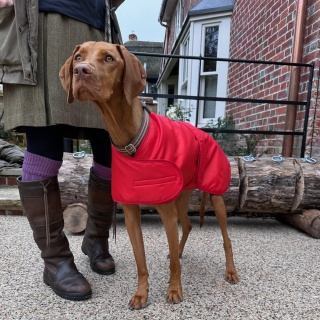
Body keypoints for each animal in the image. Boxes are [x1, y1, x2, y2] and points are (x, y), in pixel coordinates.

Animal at [60, 41, 240, 308]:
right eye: (79, 57)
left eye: (109, 58)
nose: (80, 71)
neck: (131, 141)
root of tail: (205, 134)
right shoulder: (132, 214)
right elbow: (141, 262)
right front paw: (141, 293)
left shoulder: (166, 211)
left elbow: (174, 264)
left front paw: (174, 290)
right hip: (182, 195)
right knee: (186, 226)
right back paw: (180, 250)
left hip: (215, 198)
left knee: (226, 239)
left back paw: (230, 270)